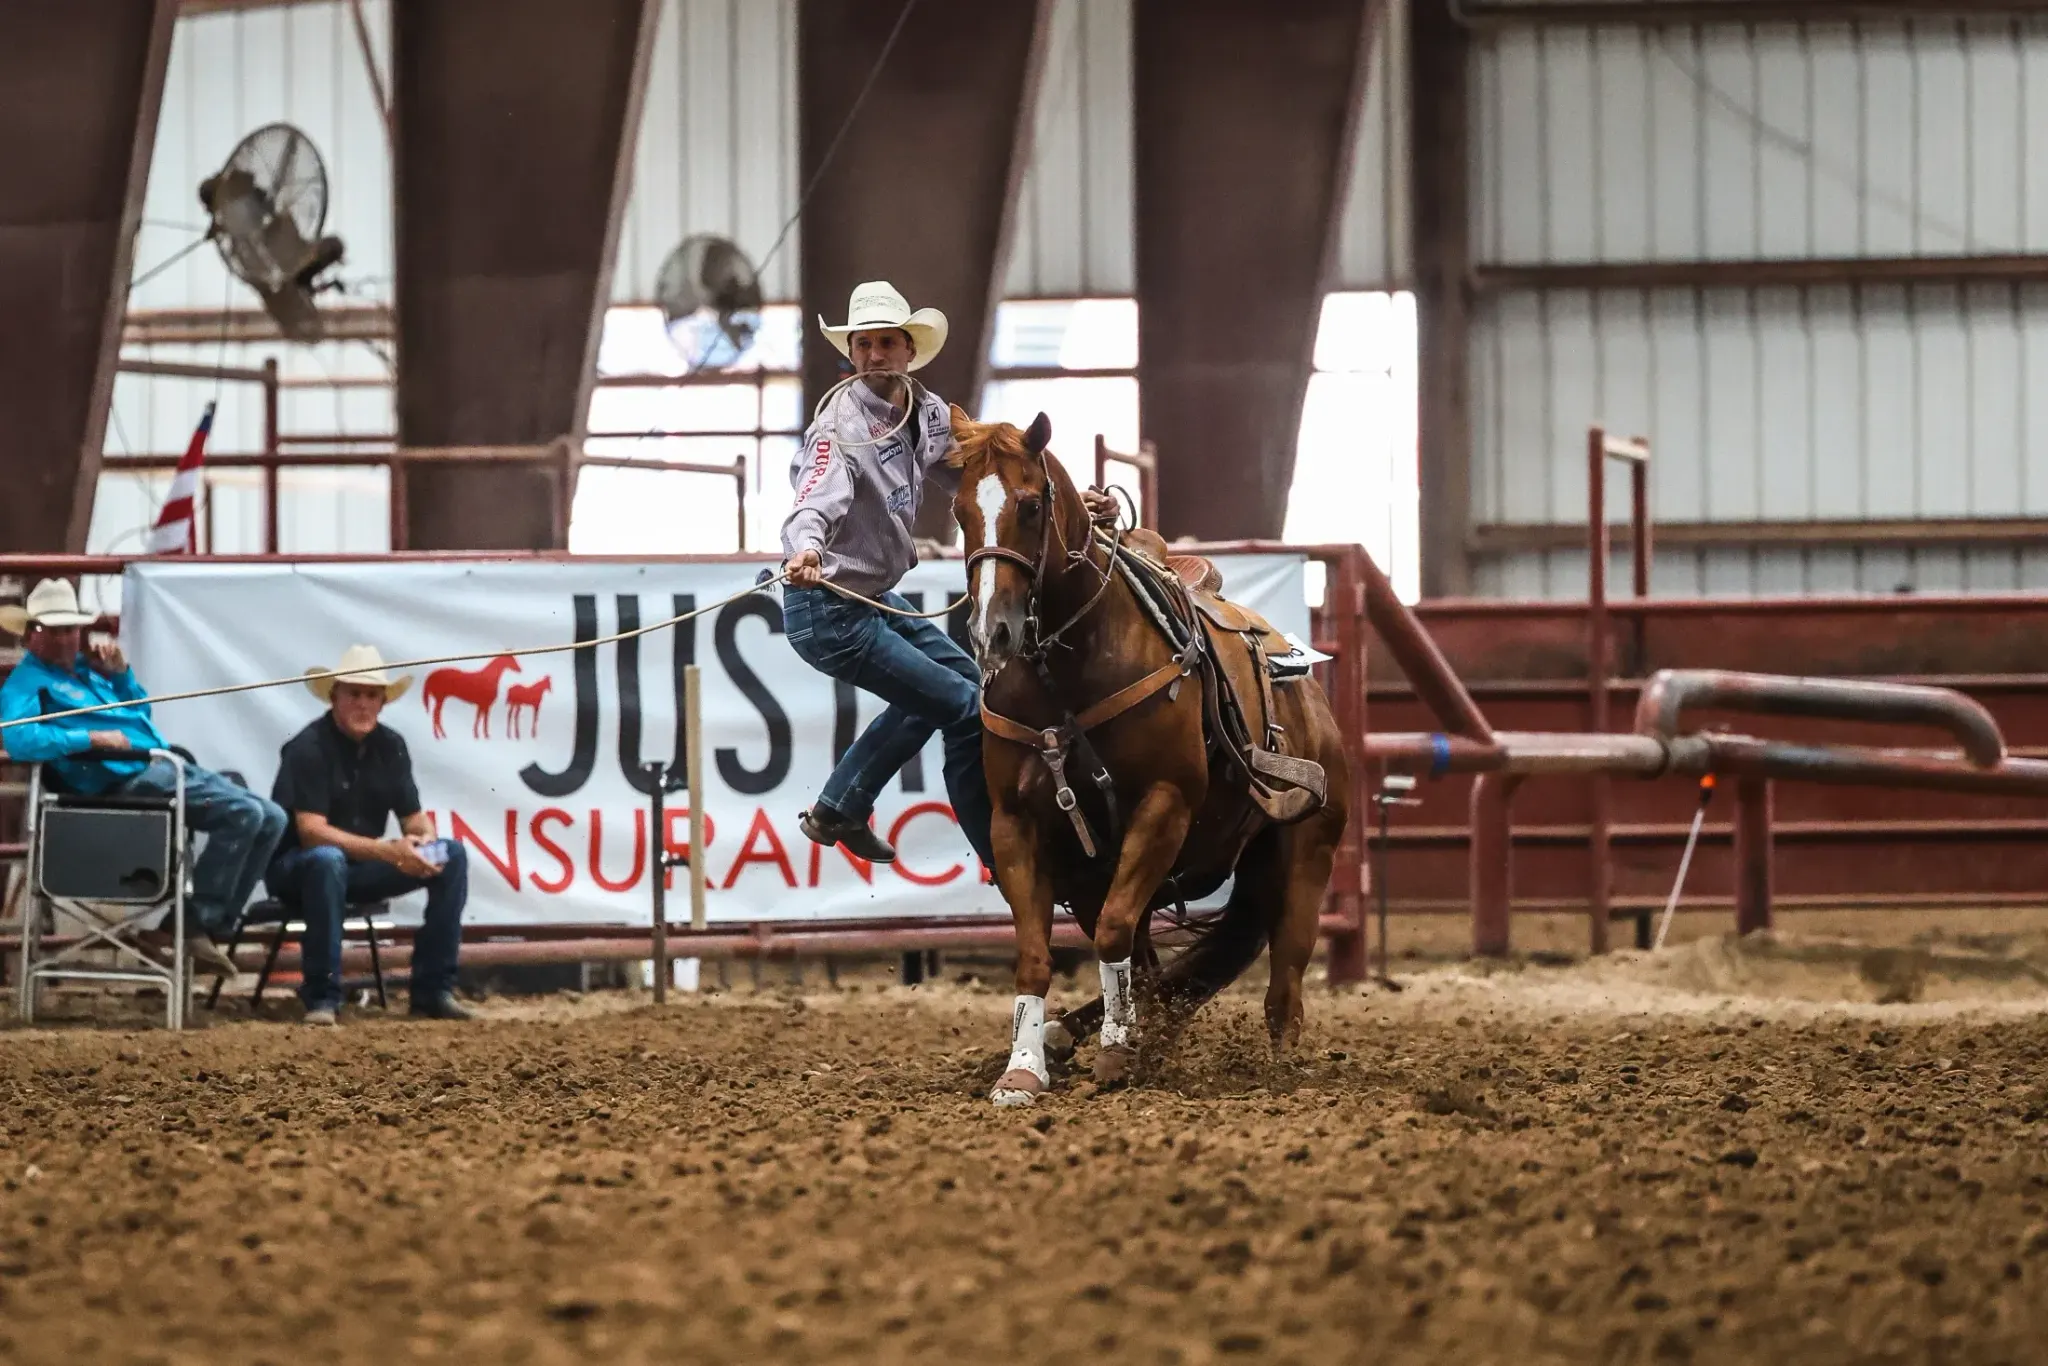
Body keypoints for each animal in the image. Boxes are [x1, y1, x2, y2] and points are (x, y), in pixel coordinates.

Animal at [950, 407, 1351, 1107]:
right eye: (958, 509)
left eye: (1029, 505)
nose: (991, 632)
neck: (1069, 673)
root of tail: (1308, 691)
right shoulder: (1016, 824)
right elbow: (1036, 954)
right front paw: (1022, 1071)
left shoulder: (1163, 807)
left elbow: (1116, 931)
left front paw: (1115, 1056)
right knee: (1164, 964)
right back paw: (1081, 1033)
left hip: (1306, 854)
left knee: (1284, 984)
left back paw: (1272, 1068)